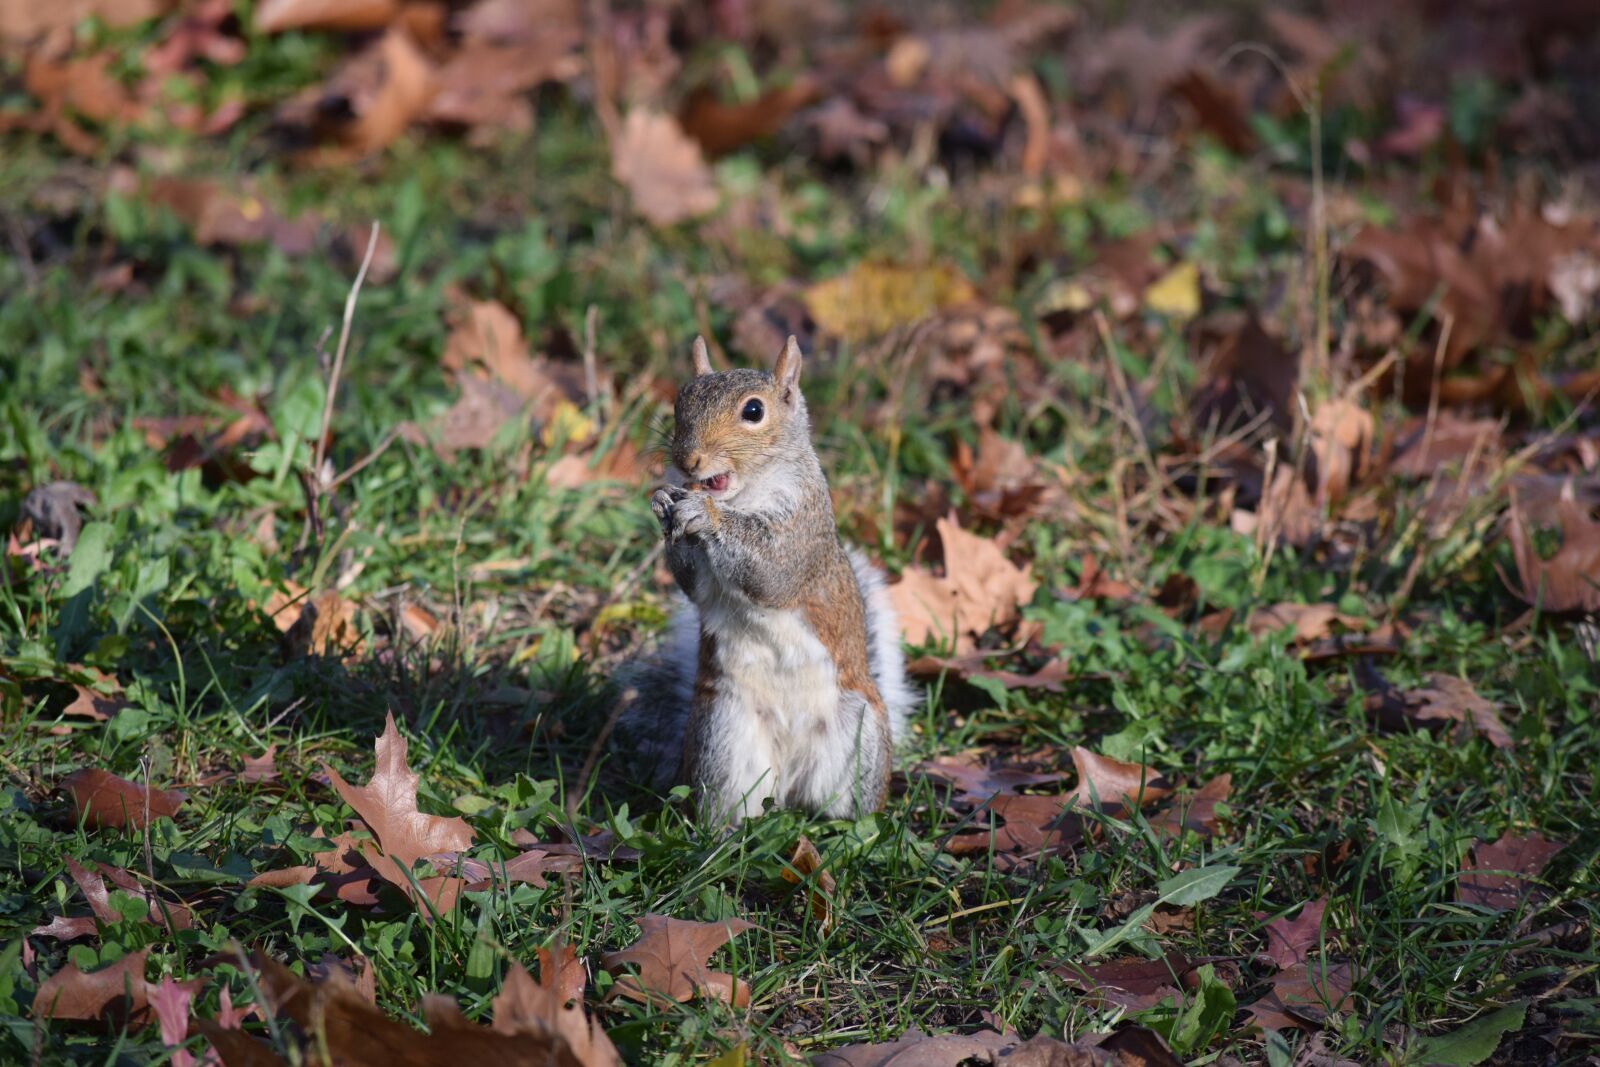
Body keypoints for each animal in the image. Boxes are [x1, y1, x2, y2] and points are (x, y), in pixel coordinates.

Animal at [621, 335, 915, 824]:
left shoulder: (802, 528)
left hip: (859, 740)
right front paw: (663, 503)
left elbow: (772, 572)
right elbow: (697, 587)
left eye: (754, 411)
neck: (744, 495)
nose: (686, 460)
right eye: (680, 401)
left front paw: (705, 514)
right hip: (722, 737)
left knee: (848, 810)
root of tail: (791, 782)